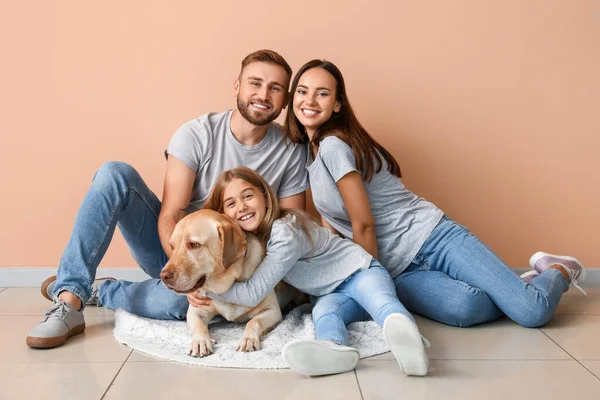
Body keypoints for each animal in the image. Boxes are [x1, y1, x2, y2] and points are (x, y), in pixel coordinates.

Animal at [161, 209, 288, 356]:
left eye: (194, 245)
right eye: (172, 246)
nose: (163, 276)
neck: (227, 285)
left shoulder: (273, 311)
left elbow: (254, 321)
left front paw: (248, 339)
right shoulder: (196, 311)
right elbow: (199, 326)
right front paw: (200, 341)